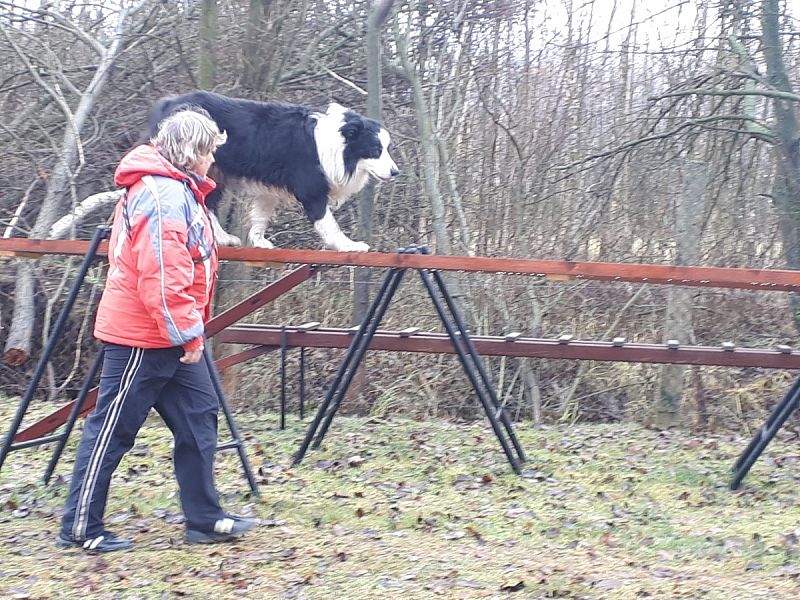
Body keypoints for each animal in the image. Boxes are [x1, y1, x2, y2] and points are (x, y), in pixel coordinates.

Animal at [145, 89, 398, 251]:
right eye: (376, 149)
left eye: (387, 148)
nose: (396, 172)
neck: (340, 143)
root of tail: (168, 103)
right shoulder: (310, 186)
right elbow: (327, 221)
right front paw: (348, 245)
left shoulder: (269, 188)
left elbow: (261, 213)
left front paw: (258, 241)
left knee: (208, 202)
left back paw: (224, 238)